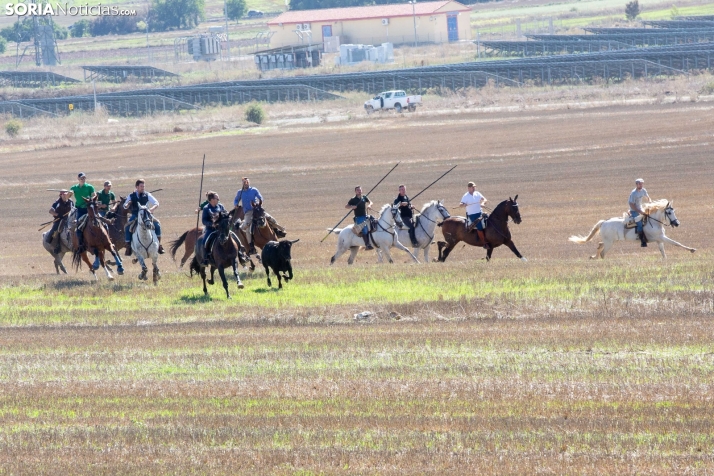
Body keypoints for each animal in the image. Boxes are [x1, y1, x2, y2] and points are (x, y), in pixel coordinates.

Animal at [568, 201, 696, 260]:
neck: (654, 222)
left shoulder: (659, 240)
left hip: (610, 241)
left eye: (673, 211)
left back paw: (593, 257)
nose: (677, 223)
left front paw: (665, 260)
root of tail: (604, 222)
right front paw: (692, 249)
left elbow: (663, 252)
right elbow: (676, 243)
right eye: (669, 212)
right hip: (609, 242)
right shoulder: (661, 238)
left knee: (599, 245)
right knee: (603, 251)